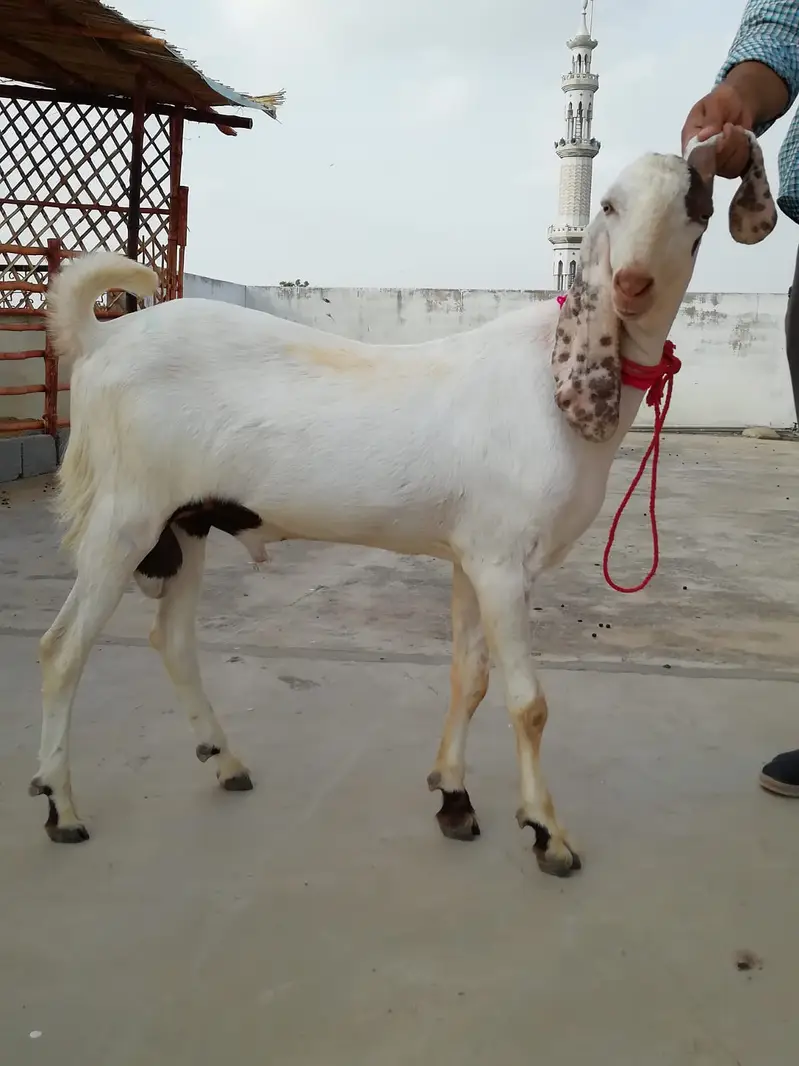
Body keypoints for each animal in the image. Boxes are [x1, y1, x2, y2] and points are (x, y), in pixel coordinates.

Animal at [32, 134, 774, 876]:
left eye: (697, 208)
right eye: (612, 205)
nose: (631, 285)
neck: (553, 381)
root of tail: (101, 338)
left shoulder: (472, 556)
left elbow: (468, 678)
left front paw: (453, 798)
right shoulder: (504, 562)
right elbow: (527, 703)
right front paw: (547, 834)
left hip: (186, 522)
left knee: (173, 640)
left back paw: (226, 763)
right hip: (126, 514)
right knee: (62, 648)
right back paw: (61, 808)